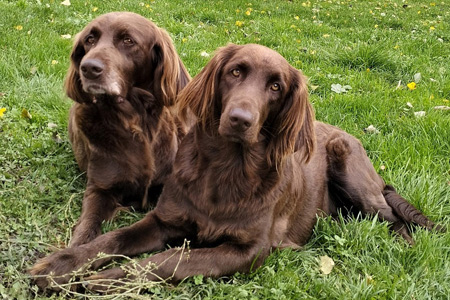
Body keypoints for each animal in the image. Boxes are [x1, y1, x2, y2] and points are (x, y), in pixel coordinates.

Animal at [63, 11, 190, 247]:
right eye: (89, 40)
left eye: (128, 40)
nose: (88, 68)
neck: (134, 120)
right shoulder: (100, 189)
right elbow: (88, 226)